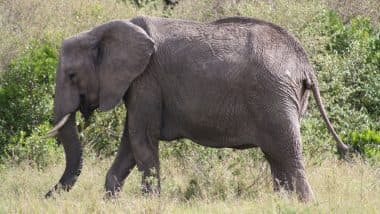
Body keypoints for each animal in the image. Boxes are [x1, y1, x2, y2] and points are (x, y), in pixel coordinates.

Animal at [44, 15, 348, 201]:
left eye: (72, 75)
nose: (46, 196)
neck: (102, 31)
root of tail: (304, 62)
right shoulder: (139, 86)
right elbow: (130, 144)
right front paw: (112, 201)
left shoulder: (146, 81)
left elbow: (141, 139)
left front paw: (151, 202)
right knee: (277, 158)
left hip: (274, 96)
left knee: (287, 154)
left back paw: (306, 203)